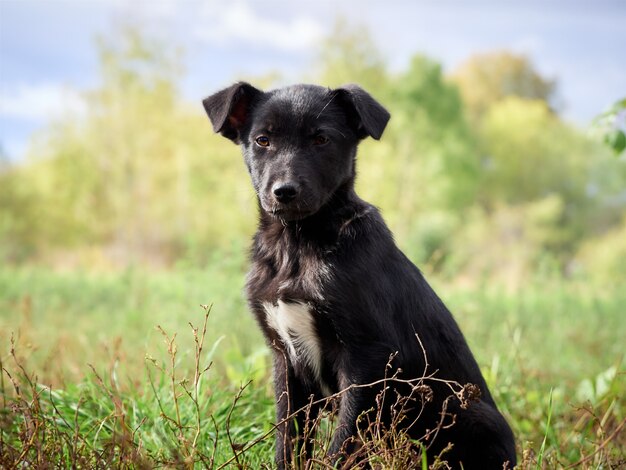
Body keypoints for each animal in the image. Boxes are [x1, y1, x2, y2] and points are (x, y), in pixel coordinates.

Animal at [202, 82, 516, 468]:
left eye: (321, 139)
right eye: (263, 140)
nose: (284, 192)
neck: (298, 244)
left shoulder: (366, 358)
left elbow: (344, 444)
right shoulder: (285, 360)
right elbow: (288, 439)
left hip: (473, 415)